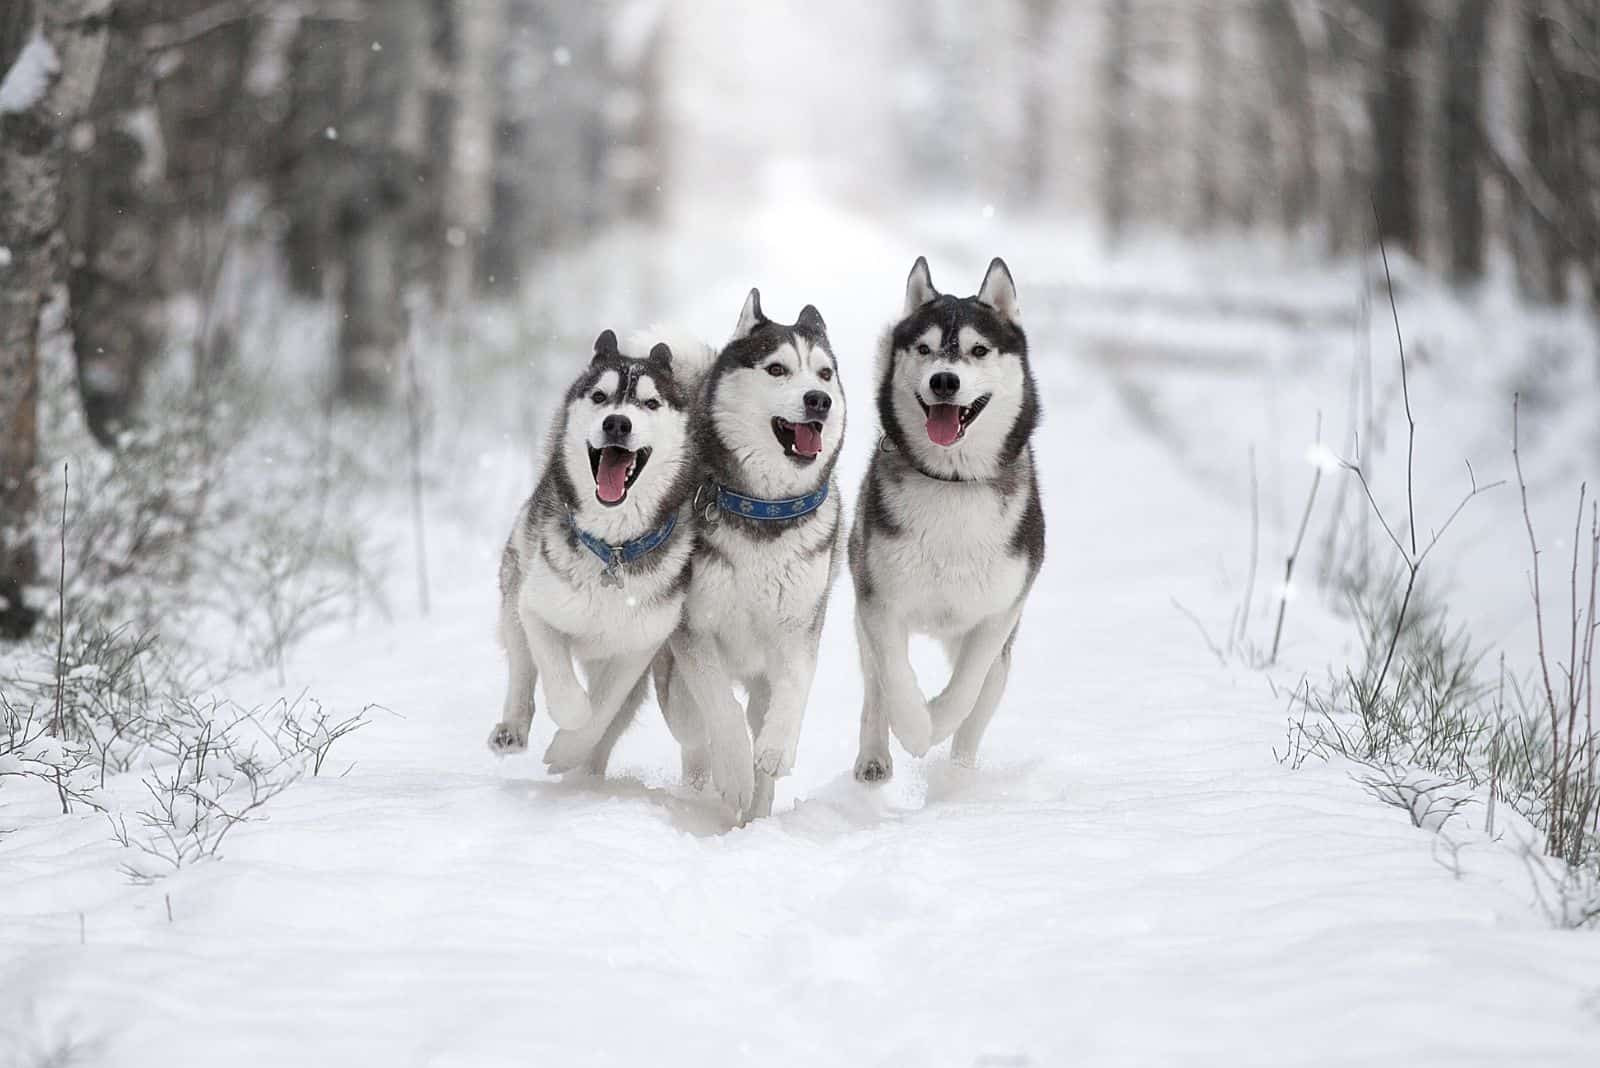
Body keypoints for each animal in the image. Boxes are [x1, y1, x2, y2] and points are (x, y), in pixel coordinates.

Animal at [486, 326, 700, 767]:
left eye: (650, 402)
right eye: (600, 396)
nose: (617, 423)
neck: (612, 549)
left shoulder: (639, 645)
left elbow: (604, 708)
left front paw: (570, 747)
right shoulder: (537, 608)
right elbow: (563, 689)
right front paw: (569, 722)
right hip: (515, 584)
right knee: (521, 665)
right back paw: (512, 728)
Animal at [652, 289, 851, 818]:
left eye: (824, 373)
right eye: (777, 369)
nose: (819, 400)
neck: (764, 510)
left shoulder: (800, 626)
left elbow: (795, 685)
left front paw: (774, 750)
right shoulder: (694, 630)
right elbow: (718, 705)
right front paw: (735, 772)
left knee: (759, 710)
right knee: (693, 729)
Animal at [851, 254, 1049, 780]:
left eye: (979, 350)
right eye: (924, 348)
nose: (944, 380)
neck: (952, 483)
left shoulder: (999, 611)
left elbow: (966, 689)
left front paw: (936, 722)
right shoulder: (879, 602)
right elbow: (895, 676)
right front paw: (915, 730)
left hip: (1000, 653)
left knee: (979, 707)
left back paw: (958, 776)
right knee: (874, 687)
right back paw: (875, 756)